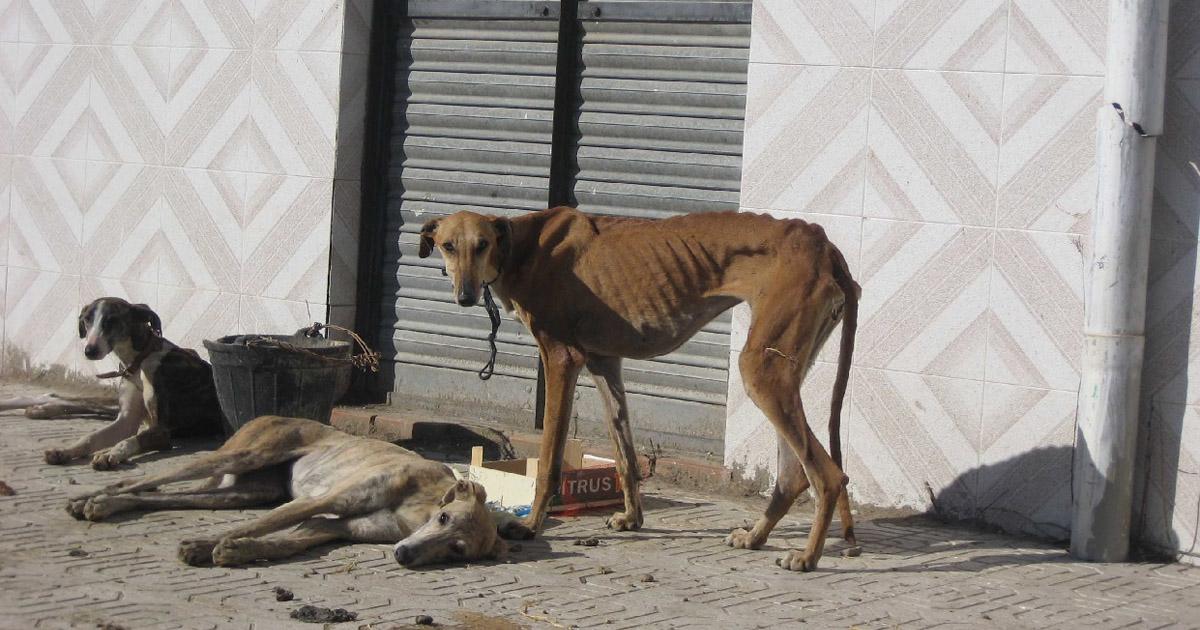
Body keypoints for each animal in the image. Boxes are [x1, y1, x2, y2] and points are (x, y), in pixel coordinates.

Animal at [65, 415, 532, 566]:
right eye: (443, 517)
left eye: (457, 549)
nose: (404, 555)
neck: (419, 506)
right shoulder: (321, 501)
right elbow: (254, 527)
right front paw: (205, 543)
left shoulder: (332, 526)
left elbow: (283, 542)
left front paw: (234, 550)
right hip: (240, 456)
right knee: (148, 480)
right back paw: (95, 496)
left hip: (240, 492)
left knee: (162, 495)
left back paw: (106, 502)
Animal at [417, 206, 859, 568]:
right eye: (448, 246)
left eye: (482, 245)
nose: (465, 296)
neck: (522, 247)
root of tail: (820, 241)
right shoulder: (604, 363)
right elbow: (625, 454)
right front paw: (632, 518)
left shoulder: (561, 360)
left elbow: (549, 463)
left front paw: (531, 526)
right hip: (782, 371)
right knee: (794, 474)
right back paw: (755, 536)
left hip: (762, 370)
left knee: (828, 475)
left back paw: (807, 556)